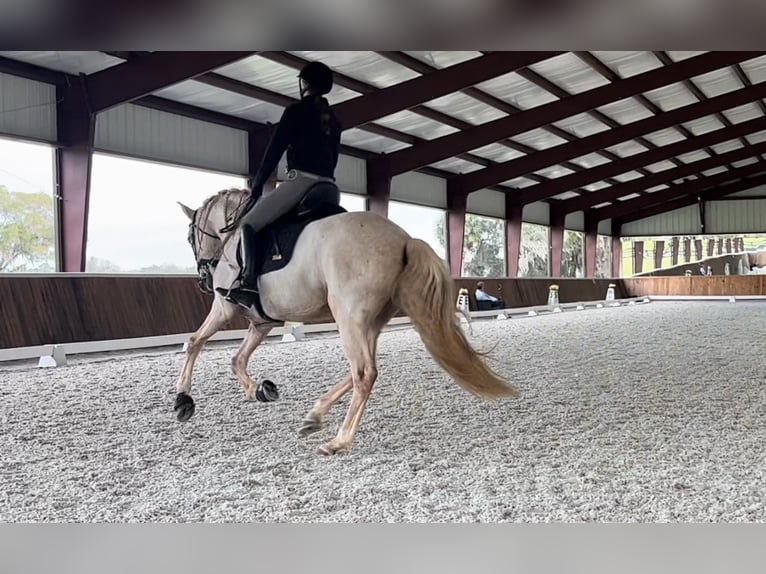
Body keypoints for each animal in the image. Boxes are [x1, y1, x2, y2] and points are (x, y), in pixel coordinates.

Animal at [177, 187, 520, 456]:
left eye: (191, 236)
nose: (203, 279)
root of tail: (404, 239)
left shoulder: (224, 307)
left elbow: (195, 342)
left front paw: (183, 399)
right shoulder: (263, 322)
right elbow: (238, 357)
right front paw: (257, 389)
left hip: (348, 316)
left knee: (364, 372)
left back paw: (338, 441)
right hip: (369, 322)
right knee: (361, 370)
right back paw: (314, 417)